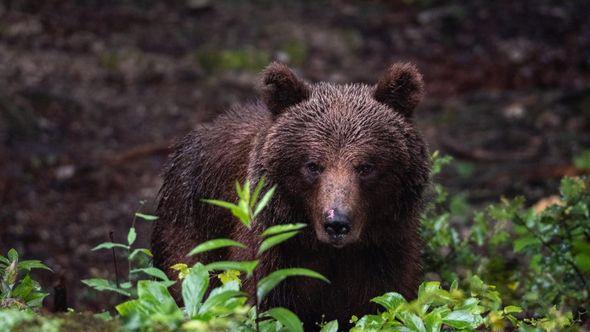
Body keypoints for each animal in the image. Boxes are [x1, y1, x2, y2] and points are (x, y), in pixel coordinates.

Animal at [153, 61, 430, 326]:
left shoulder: (385, 250)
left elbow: (382, 303)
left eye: (365, 167)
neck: (328, 250)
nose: (337, 223)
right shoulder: (276, 255)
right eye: (313, 165)